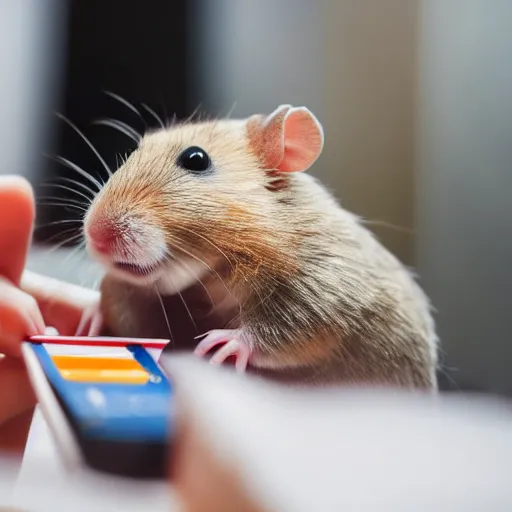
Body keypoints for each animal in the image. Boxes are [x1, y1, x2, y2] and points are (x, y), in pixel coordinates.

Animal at [81, 106, 440, 390]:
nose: (95, 236)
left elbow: (295, 327)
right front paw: (92, 313)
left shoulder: (322, 288)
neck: (216, 271)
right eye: (136, 149)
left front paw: (228, 343)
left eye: (195, 159)